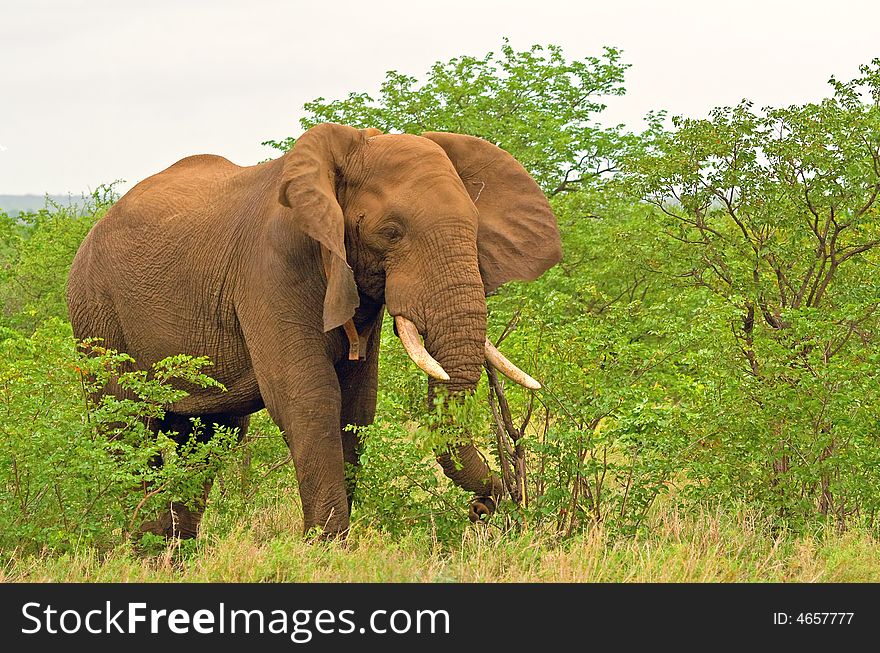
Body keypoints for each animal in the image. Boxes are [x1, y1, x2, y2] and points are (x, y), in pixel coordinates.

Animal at [67, 123, 564, 540]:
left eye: (475, 231)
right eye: (391, 232)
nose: (486, 505)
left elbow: (357, 404)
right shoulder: (269, 269)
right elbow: (309, 395)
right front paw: (327, 549)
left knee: (210, 434)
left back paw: (173, 552)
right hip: (95, 312)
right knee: (125, 425)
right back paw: (141, 548)